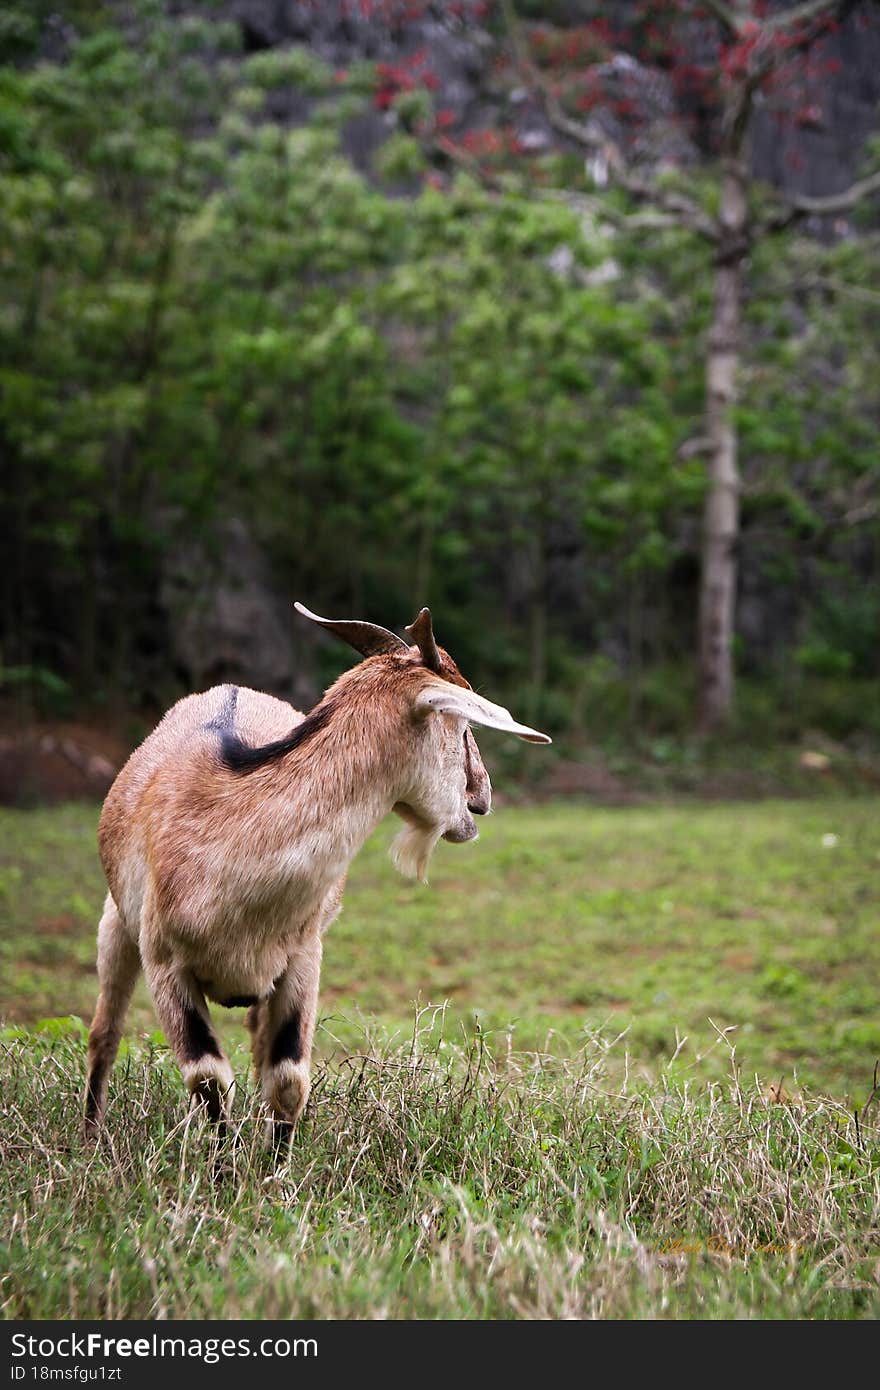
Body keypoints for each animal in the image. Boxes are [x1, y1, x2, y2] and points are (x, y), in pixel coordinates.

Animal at [84, 606, 550, 1139]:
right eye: (460, 722)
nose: (481, 797)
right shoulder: (166, 964)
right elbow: (208, 1079)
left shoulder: (303, 959)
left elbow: (287, 1080)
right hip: (117, 926)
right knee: (105, 1031)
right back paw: (90, 1137)